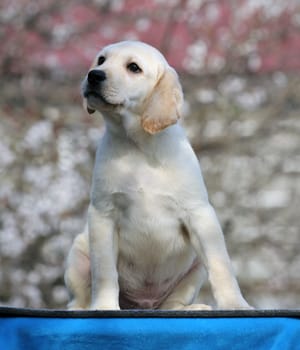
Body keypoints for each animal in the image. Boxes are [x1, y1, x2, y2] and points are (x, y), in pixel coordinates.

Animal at [63, 39, 251, 310]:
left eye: (134, 68)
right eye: (101, 60)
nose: (94, 75)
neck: (138, 145)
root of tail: (143, 305)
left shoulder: (199, 214)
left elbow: (220, 266)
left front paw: (235, 304)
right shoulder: (102, 215)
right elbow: (105, 272)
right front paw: (105, 307)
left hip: (195, 269)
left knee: (172, 304)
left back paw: (191, 308)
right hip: (78, 254)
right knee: (77, 300)